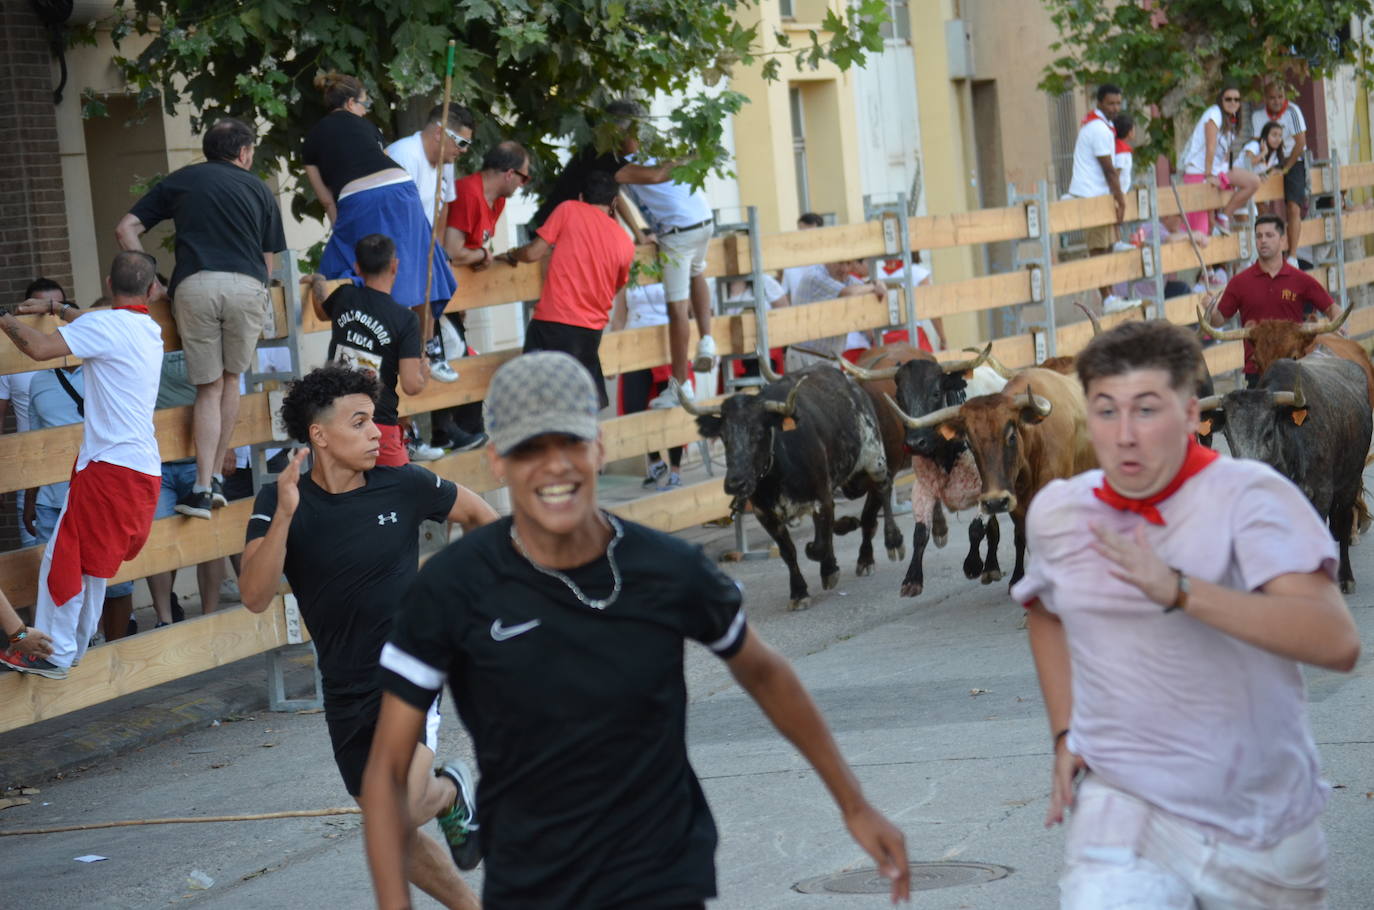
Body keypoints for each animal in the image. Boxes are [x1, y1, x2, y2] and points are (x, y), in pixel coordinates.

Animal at [1209, 360, 1368, 596]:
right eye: (1228, 435)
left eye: (1268, 432)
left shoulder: (1322, 495)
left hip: (1351, 479)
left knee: (1344, 519)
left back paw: (1346, 577)